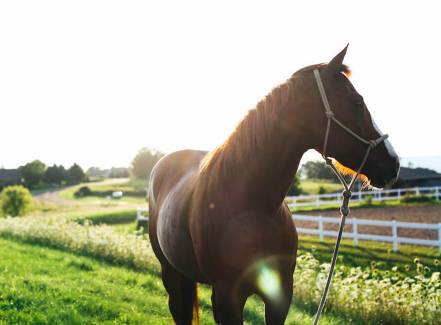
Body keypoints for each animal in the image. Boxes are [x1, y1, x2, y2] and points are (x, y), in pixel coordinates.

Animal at [147, 46, 398, 324]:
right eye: (357, 102)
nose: (394, 163)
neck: (254, 210)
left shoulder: (281, 294)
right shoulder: (227, 296)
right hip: (169, 272)